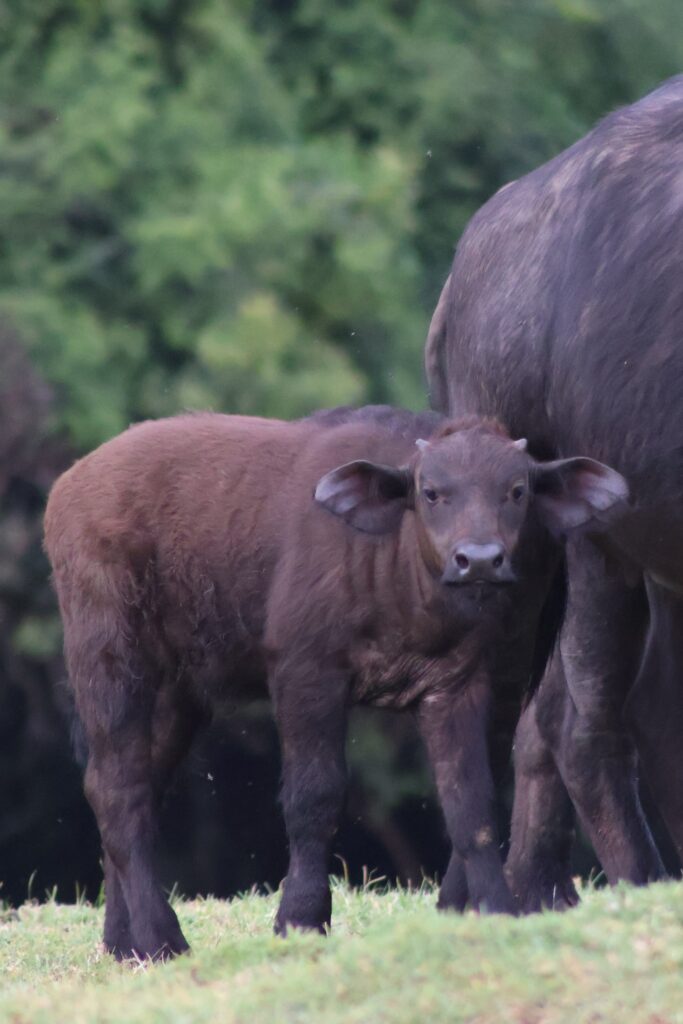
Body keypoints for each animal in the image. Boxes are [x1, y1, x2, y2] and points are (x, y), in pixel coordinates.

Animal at [43, 405, 625, 959]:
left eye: (517, 490)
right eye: (432, 492)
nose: (478, 560)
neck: (398, 575)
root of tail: (68, 487)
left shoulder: (460, 685)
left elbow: (471, 804)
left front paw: (493, 909)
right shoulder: (307, 673)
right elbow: (314, 797)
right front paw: (300, 919)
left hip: (177, 692)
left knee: (132, 786)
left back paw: (124, 942)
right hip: (110, 658)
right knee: (118, 788)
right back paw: (162, 939)